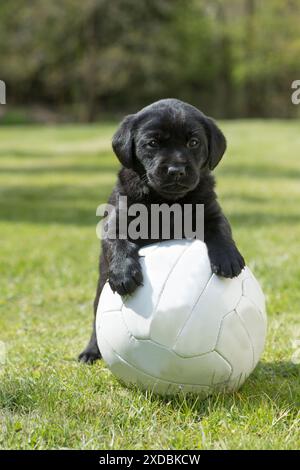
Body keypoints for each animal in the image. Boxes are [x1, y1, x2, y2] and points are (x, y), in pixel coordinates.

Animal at [78, 98, 245, 364]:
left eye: (193, 142)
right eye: (153, 143)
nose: (176, 170)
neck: (167, 203)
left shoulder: (210, 209)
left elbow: (220, 229)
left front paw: (228, 258)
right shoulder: (117, 219)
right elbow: (118, 241)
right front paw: (124, 272)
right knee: (97, 320)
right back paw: (91, 351)